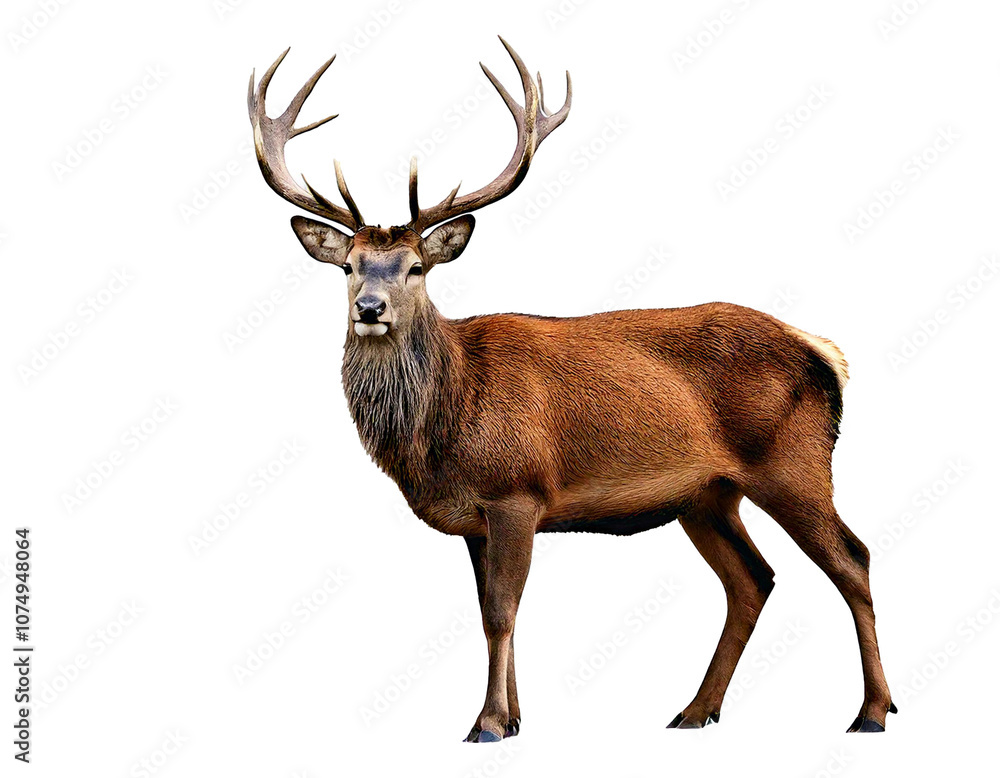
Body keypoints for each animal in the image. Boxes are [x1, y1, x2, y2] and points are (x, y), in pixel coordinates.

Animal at [248, 38, 895, 741]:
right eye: (348, 266)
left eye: (416, 268)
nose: (369, 308)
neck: (446, 420)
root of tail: (823, 352)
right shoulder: (477, 518)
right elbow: (488, 612)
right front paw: (515, 718)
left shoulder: (517, 489)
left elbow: (502, 611)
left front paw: (487, 723)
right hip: (706, 494)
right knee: (754, 579)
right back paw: (696, 710)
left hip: (793, 461)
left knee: (853, 558)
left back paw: (871, 711)